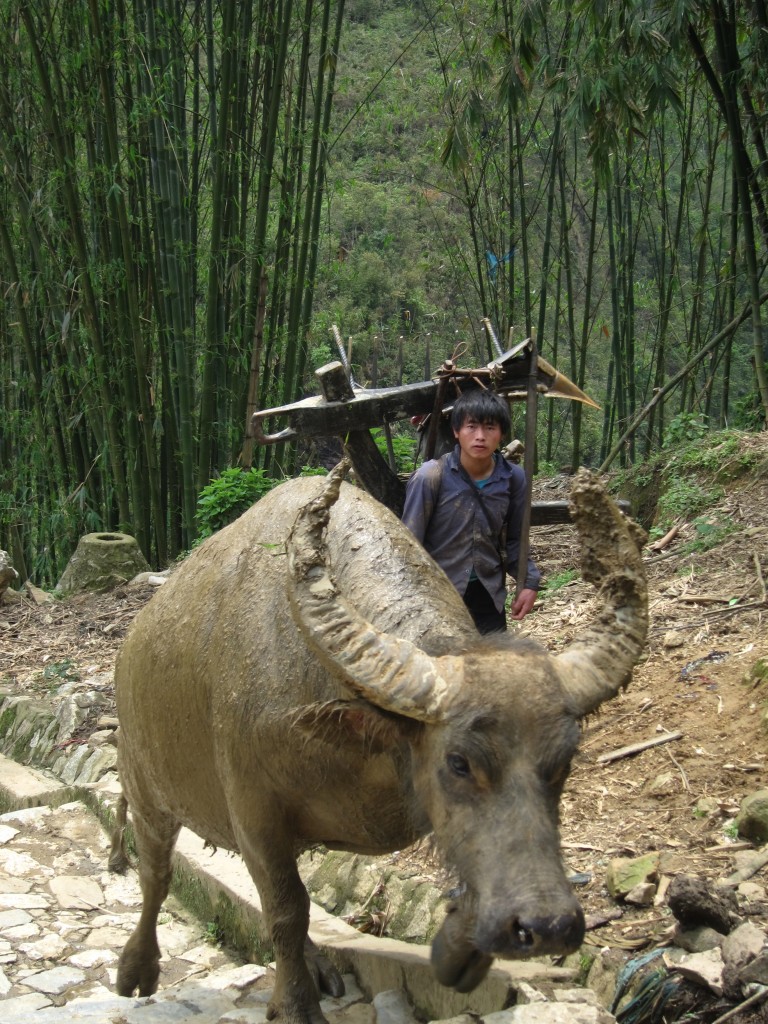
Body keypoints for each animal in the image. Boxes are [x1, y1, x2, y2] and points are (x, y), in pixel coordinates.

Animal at [109, 462, 651, 1024]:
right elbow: (285, 910)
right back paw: (137, 970)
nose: (546, 927)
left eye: (564, 761)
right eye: (459, 762)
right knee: (156, 874)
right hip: (146, 790)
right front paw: (295, 1005)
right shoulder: (255, 815)